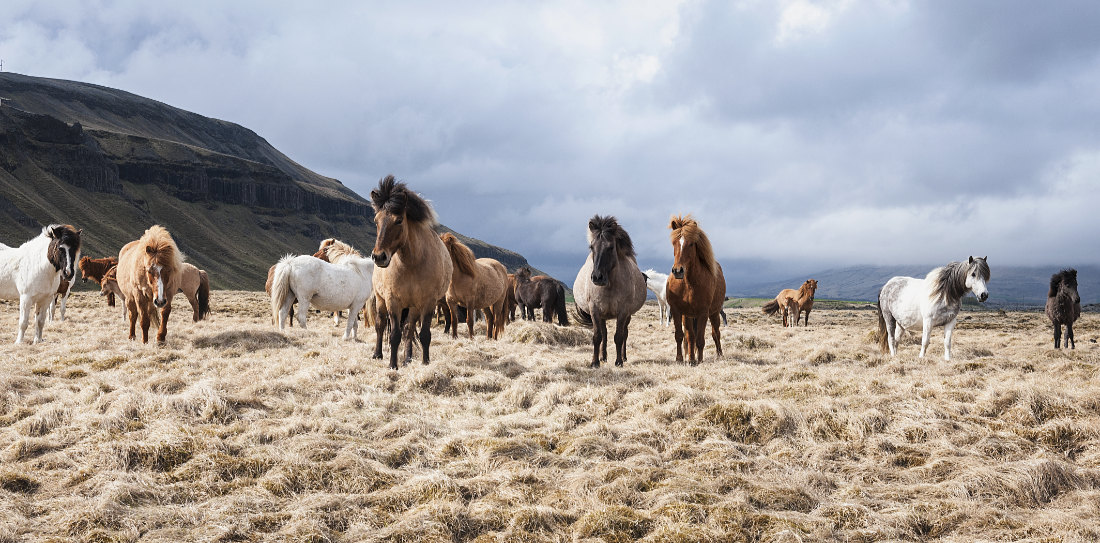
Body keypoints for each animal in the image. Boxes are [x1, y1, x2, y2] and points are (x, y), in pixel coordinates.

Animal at [371, 175, 453, 371]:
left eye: (399, 220)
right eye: (376, 220)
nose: (379, 257)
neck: (411, 265)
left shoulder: (428, 303)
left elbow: (424, 334)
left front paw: (425, 362)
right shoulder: (392, 301)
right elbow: (394, 335)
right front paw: (392, 365)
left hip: (413, 307)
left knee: (408, 329)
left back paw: (407, 358)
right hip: (380, 299)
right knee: (380, 324)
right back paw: (377, 354)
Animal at [572, 214, 646, 367]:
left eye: (611, 247)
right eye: (591, 247)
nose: (597, 277)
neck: (609, 287)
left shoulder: (623, 312)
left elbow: (619, 336)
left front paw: (619, 361)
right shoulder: (595, 310)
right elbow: (597, 336)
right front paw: (595, 362)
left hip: (627, 316)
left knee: (625, 333)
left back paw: (623, 357)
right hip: (602, 316)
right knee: (604, 334)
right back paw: (603, 357)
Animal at [664, 214, 726, 362]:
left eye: (691, 243)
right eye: (674, 243)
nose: (678, 271)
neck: (688, 284)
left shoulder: (703, 312)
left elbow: (700, 339)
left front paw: (699, 360)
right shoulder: (680, 311)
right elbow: (684, 336)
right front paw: (684, 359)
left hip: (714, 313)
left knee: (716, 333)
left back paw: (719, 354)